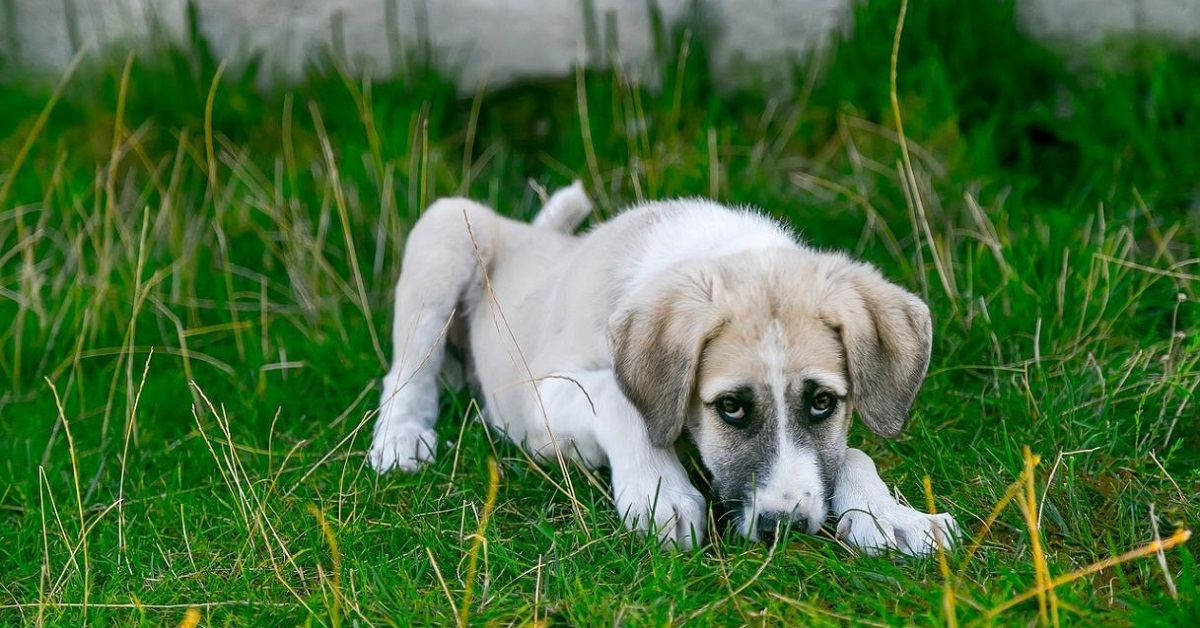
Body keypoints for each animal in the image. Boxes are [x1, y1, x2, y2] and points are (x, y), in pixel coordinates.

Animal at [364, 182, 955, 554]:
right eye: (730, 407)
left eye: (823, 403)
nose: (783, 527)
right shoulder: (540, 397)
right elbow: (619, 399)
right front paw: (659, 493)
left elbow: (850, 452)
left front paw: (890, 515)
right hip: (447, 230)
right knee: (406, 370)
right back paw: (401, 436)